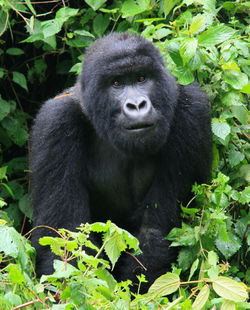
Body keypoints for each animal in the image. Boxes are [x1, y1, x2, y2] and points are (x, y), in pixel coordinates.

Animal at [30, 32, 212, 286]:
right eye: (116, 83)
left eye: (141, 78)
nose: (137, 105)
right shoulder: (55, 122)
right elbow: (64, 235)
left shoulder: (193, 112)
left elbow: (154, 230)